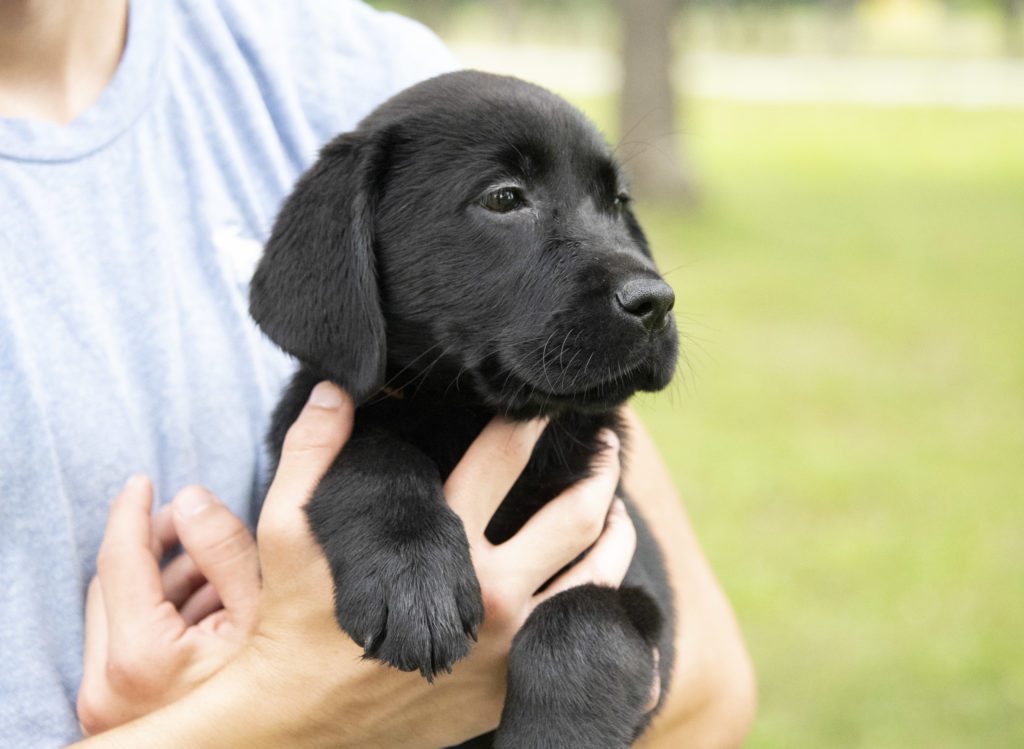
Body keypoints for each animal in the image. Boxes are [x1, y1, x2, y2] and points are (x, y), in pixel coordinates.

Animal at [248, 71, 679, 749]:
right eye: (504, 199)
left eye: (617, 202)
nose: (656, 301)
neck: (468, 412)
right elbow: (371, 454)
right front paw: (412, 577)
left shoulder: (638, 576)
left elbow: (585, 619)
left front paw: (555, 735)